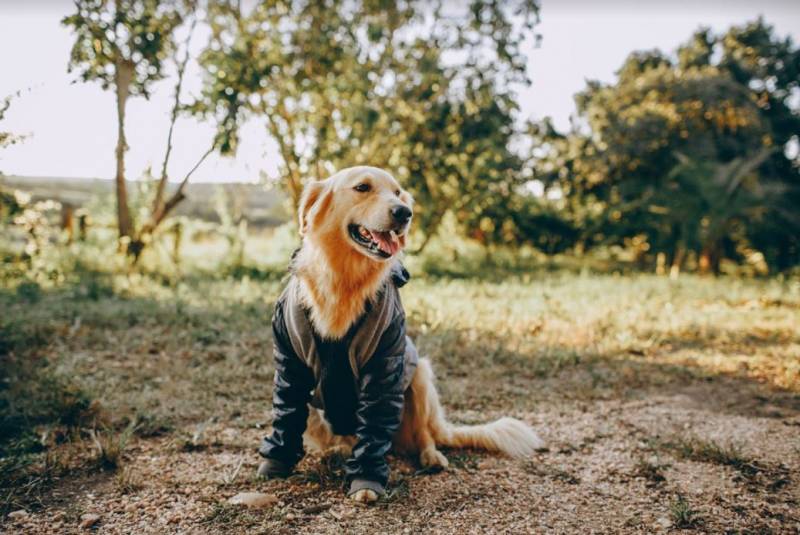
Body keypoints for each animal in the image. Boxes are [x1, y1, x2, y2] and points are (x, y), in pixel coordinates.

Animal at [262, 166, 544, 502]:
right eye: (362, 187)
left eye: (398, 193)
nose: (404, 213)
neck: (344, 279)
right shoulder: (290, 363)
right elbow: (287, 414)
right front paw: (276, 462)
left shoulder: (385, 362)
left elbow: (373, 430)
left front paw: (366, 480)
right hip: (318, 416)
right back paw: (336, 451)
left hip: (419, 374)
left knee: (422, 434)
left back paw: (430, 456)